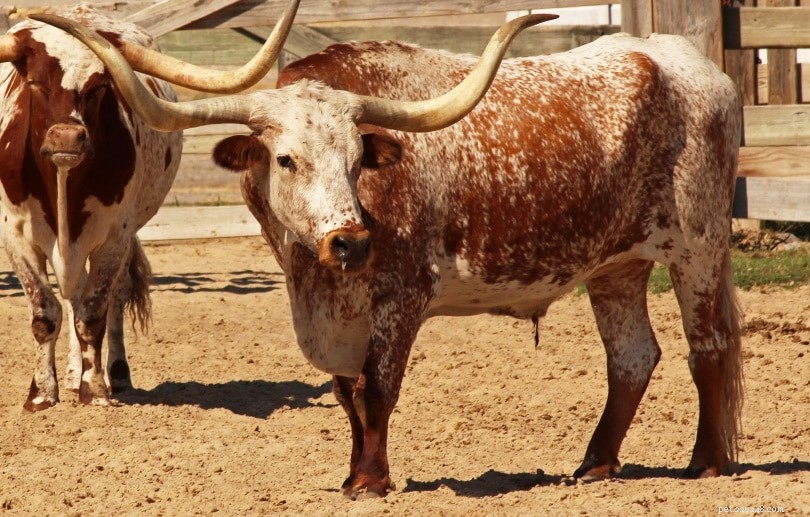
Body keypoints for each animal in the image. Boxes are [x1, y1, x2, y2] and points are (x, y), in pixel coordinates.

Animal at [0, 1, 297, 411]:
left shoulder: (114, 236)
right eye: (33, 83)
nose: (66, 138)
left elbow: (93, 313)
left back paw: (113, 374)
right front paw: (42, 394)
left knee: (111, 297)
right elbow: (45, 312)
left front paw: (96, 389)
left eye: (100, 87)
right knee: (72, 296)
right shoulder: (15, 233)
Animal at [40, 14, 743, 499]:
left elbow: (378, 390)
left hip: (699, 245)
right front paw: (353, 474)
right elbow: (347, 393)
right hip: (616, 267)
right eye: (286, 159)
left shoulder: (401, 298)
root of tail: (685, 60)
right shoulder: (335, 313)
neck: (315, 277)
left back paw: (706, 463)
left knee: (707, 347)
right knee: (632, 358)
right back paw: (594, 466)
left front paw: (373, 481)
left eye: (359, 159)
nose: (349, 241)